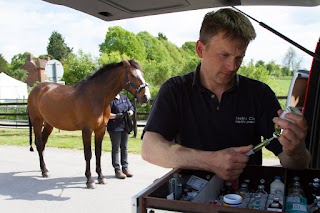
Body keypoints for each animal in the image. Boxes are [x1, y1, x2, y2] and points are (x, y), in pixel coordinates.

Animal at [27, 58, 150, 188]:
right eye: (132, 75)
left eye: (142, 74)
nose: (146, 97)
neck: (96, 97)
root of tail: (36, 90)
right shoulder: (87, 130)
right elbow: (88, 154)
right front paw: (90, 180)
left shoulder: (100, 130)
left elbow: (98, 153)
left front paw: (101, 177)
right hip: (37, 122)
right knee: (39, 144)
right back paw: (44, 171)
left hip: (49, 124)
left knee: (43, 144)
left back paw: (44, 169)